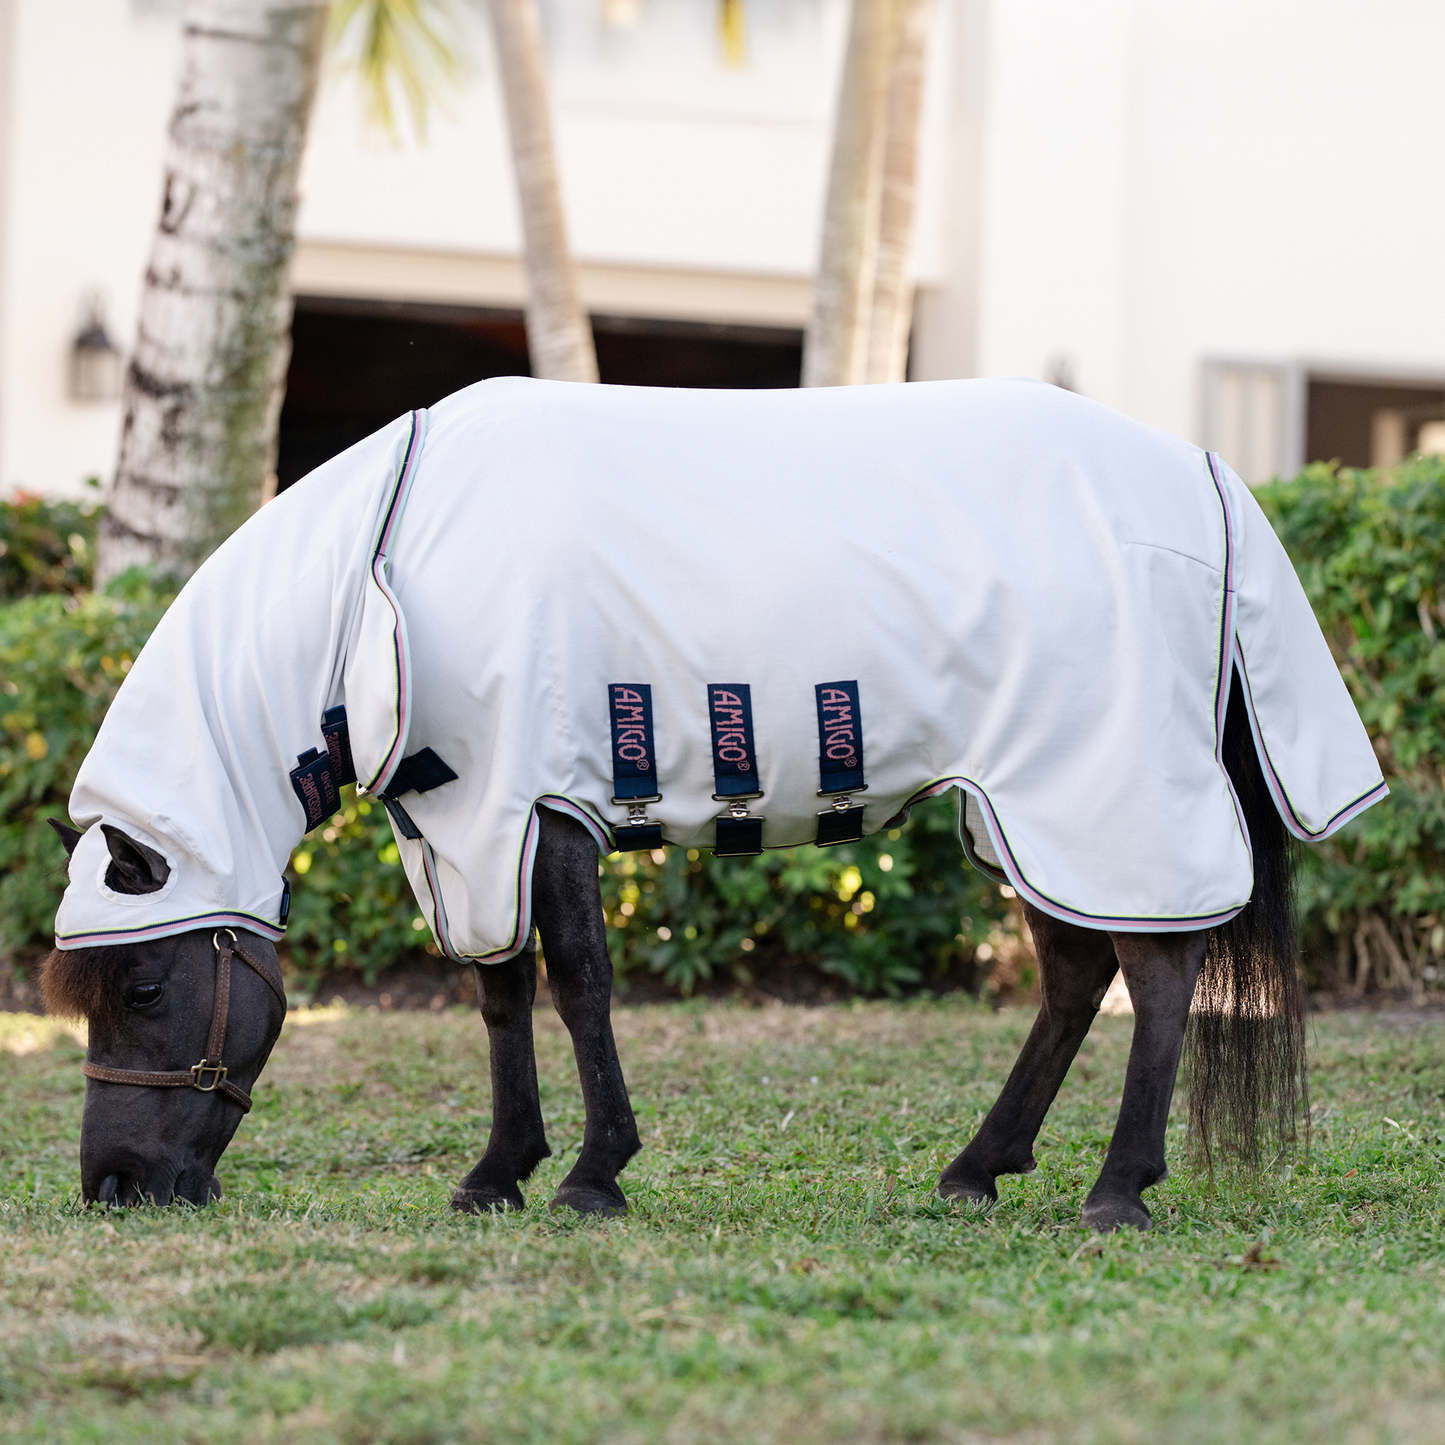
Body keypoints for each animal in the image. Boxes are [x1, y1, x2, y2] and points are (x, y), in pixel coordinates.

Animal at [40, 377, 1385, 1227]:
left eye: (145, 985)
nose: (114, 1186)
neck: (382, 572)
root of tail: (1205, 480)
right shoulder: (467, 828)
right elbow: (498, 995)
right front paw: (496, 1172)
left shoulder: (538, 801)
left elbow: (577, 982)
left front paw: (589, 1176)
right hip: (1016, 808)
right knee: (1075, 977)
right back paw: (976, 1169)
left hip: (1094, 794)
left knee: (1155, 971)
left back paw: (1115, 1189)